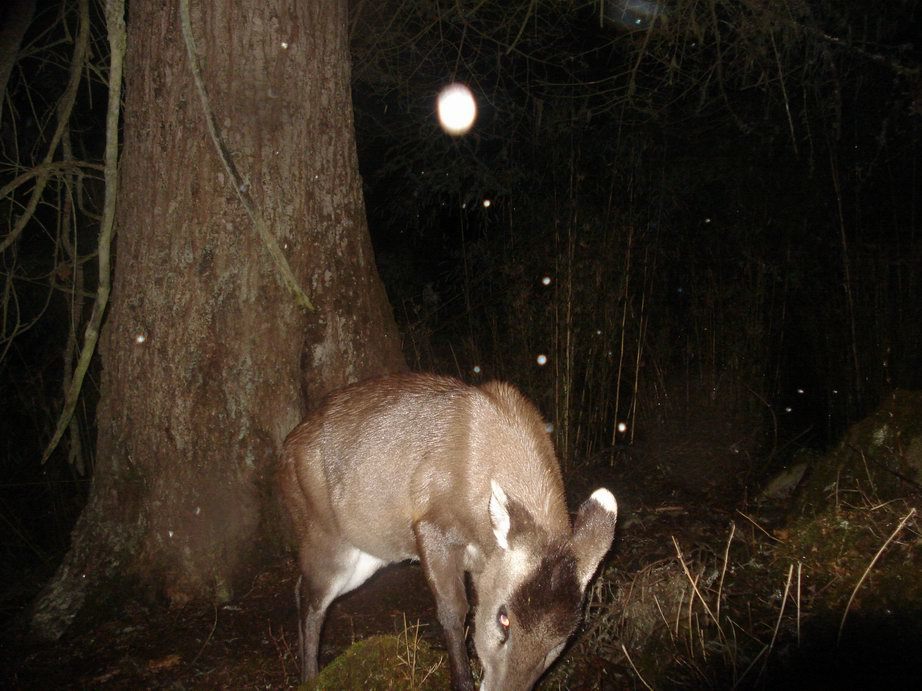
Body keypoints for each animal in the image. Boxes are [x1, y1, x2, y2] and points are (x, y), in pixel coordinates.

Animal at [276, 376, 616, 688]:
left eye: (561, 641)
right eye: (503, 618)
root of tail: (287, 447)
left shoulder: (483, 564)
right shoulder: (431, 525)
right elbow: (453, 611)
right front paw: (462, 680)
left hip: (368, 553)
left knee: (301, 587)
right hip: (321, 528)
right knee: (312, 599)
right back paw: (310, 677)